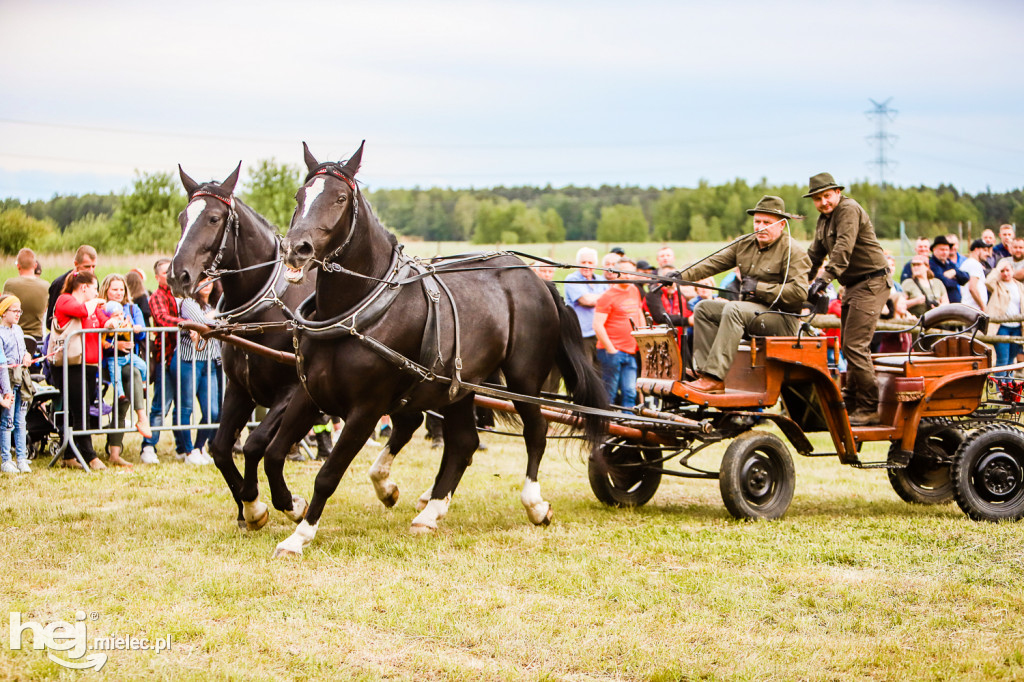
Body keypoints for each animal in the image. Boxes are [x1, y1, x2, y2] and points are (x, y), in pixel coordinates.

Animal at [168, 163, 319, 524]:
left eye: (213, 218)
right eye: (182, 217)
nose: (178, 275)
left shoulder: (292, 391)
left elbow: (256, 443)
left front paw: (273, 502)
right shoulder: (239, 389)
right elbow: (221, 448)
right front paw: (246, 505)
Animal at [268, 140, 606, 557]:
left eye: (340, 198)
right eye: (300, 196)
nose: (295, 249)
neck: (356, 313)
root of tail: (536, 279)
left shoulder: (365, 409)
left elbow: (328, 474)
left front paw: (300, 536)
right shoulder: (311, 393)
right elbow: (272, 454)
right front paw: (293, 506)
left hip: (524, 378)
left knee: (536, 431)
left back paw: (534, 504)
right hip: (460, 387)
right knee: (463, 443)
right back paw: (430, 511)